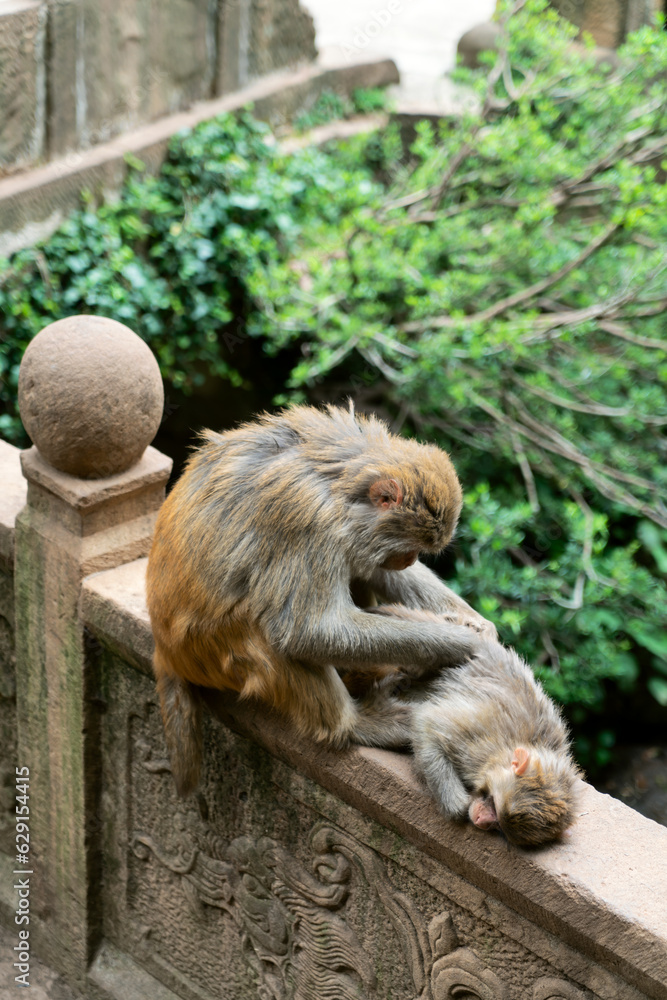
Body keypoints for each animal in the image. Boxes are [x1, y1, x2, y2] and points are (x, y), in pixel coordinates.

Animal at [146, 404, 496, 796]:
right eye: (410, 548)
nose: (407, 560)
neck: (337, 482)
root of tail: (165, 650)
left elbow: (372, 570)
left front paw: (477, 624)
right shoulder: (308, 519)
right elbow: (310, 631)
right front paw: (458, 643)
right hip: (210, 653)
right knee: (269, 630)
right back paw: (356, 724)